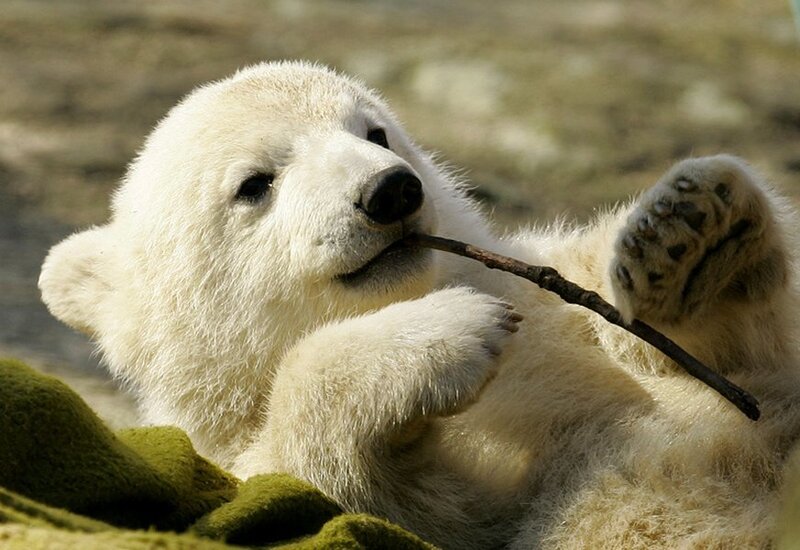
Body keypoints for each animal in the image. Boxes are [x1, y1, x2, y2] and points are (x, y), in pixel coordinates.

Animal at [39, 61, 800, 549]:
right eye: (254, 183)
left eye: (374, 132)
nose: (390, 192)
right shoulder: (228, 456)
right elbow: (335, 492)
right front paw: (445, 336)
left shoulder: (550, 304)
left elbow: (735, 349)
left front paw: (692, 240)